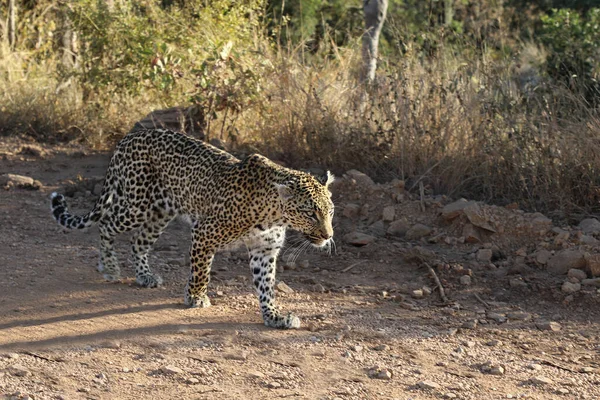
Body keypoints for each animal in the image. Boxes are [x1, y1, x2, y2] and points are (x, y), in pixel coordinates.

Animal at [49, 128, 336, 328]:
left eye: (330, 211)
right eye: (311, 213)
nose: (328, 235)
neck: (273, 213)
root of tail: (130, 136)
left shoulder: (264, 251)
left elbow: (266, 286)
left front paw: (274, 316)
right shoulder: (204, 233)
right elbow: (201, 272)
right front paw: (196, 297)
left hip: (160, 212)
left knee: (137, 242)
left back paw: (144, 276)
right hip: (136, 205)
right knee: (107, 224)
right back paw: (109, 267)